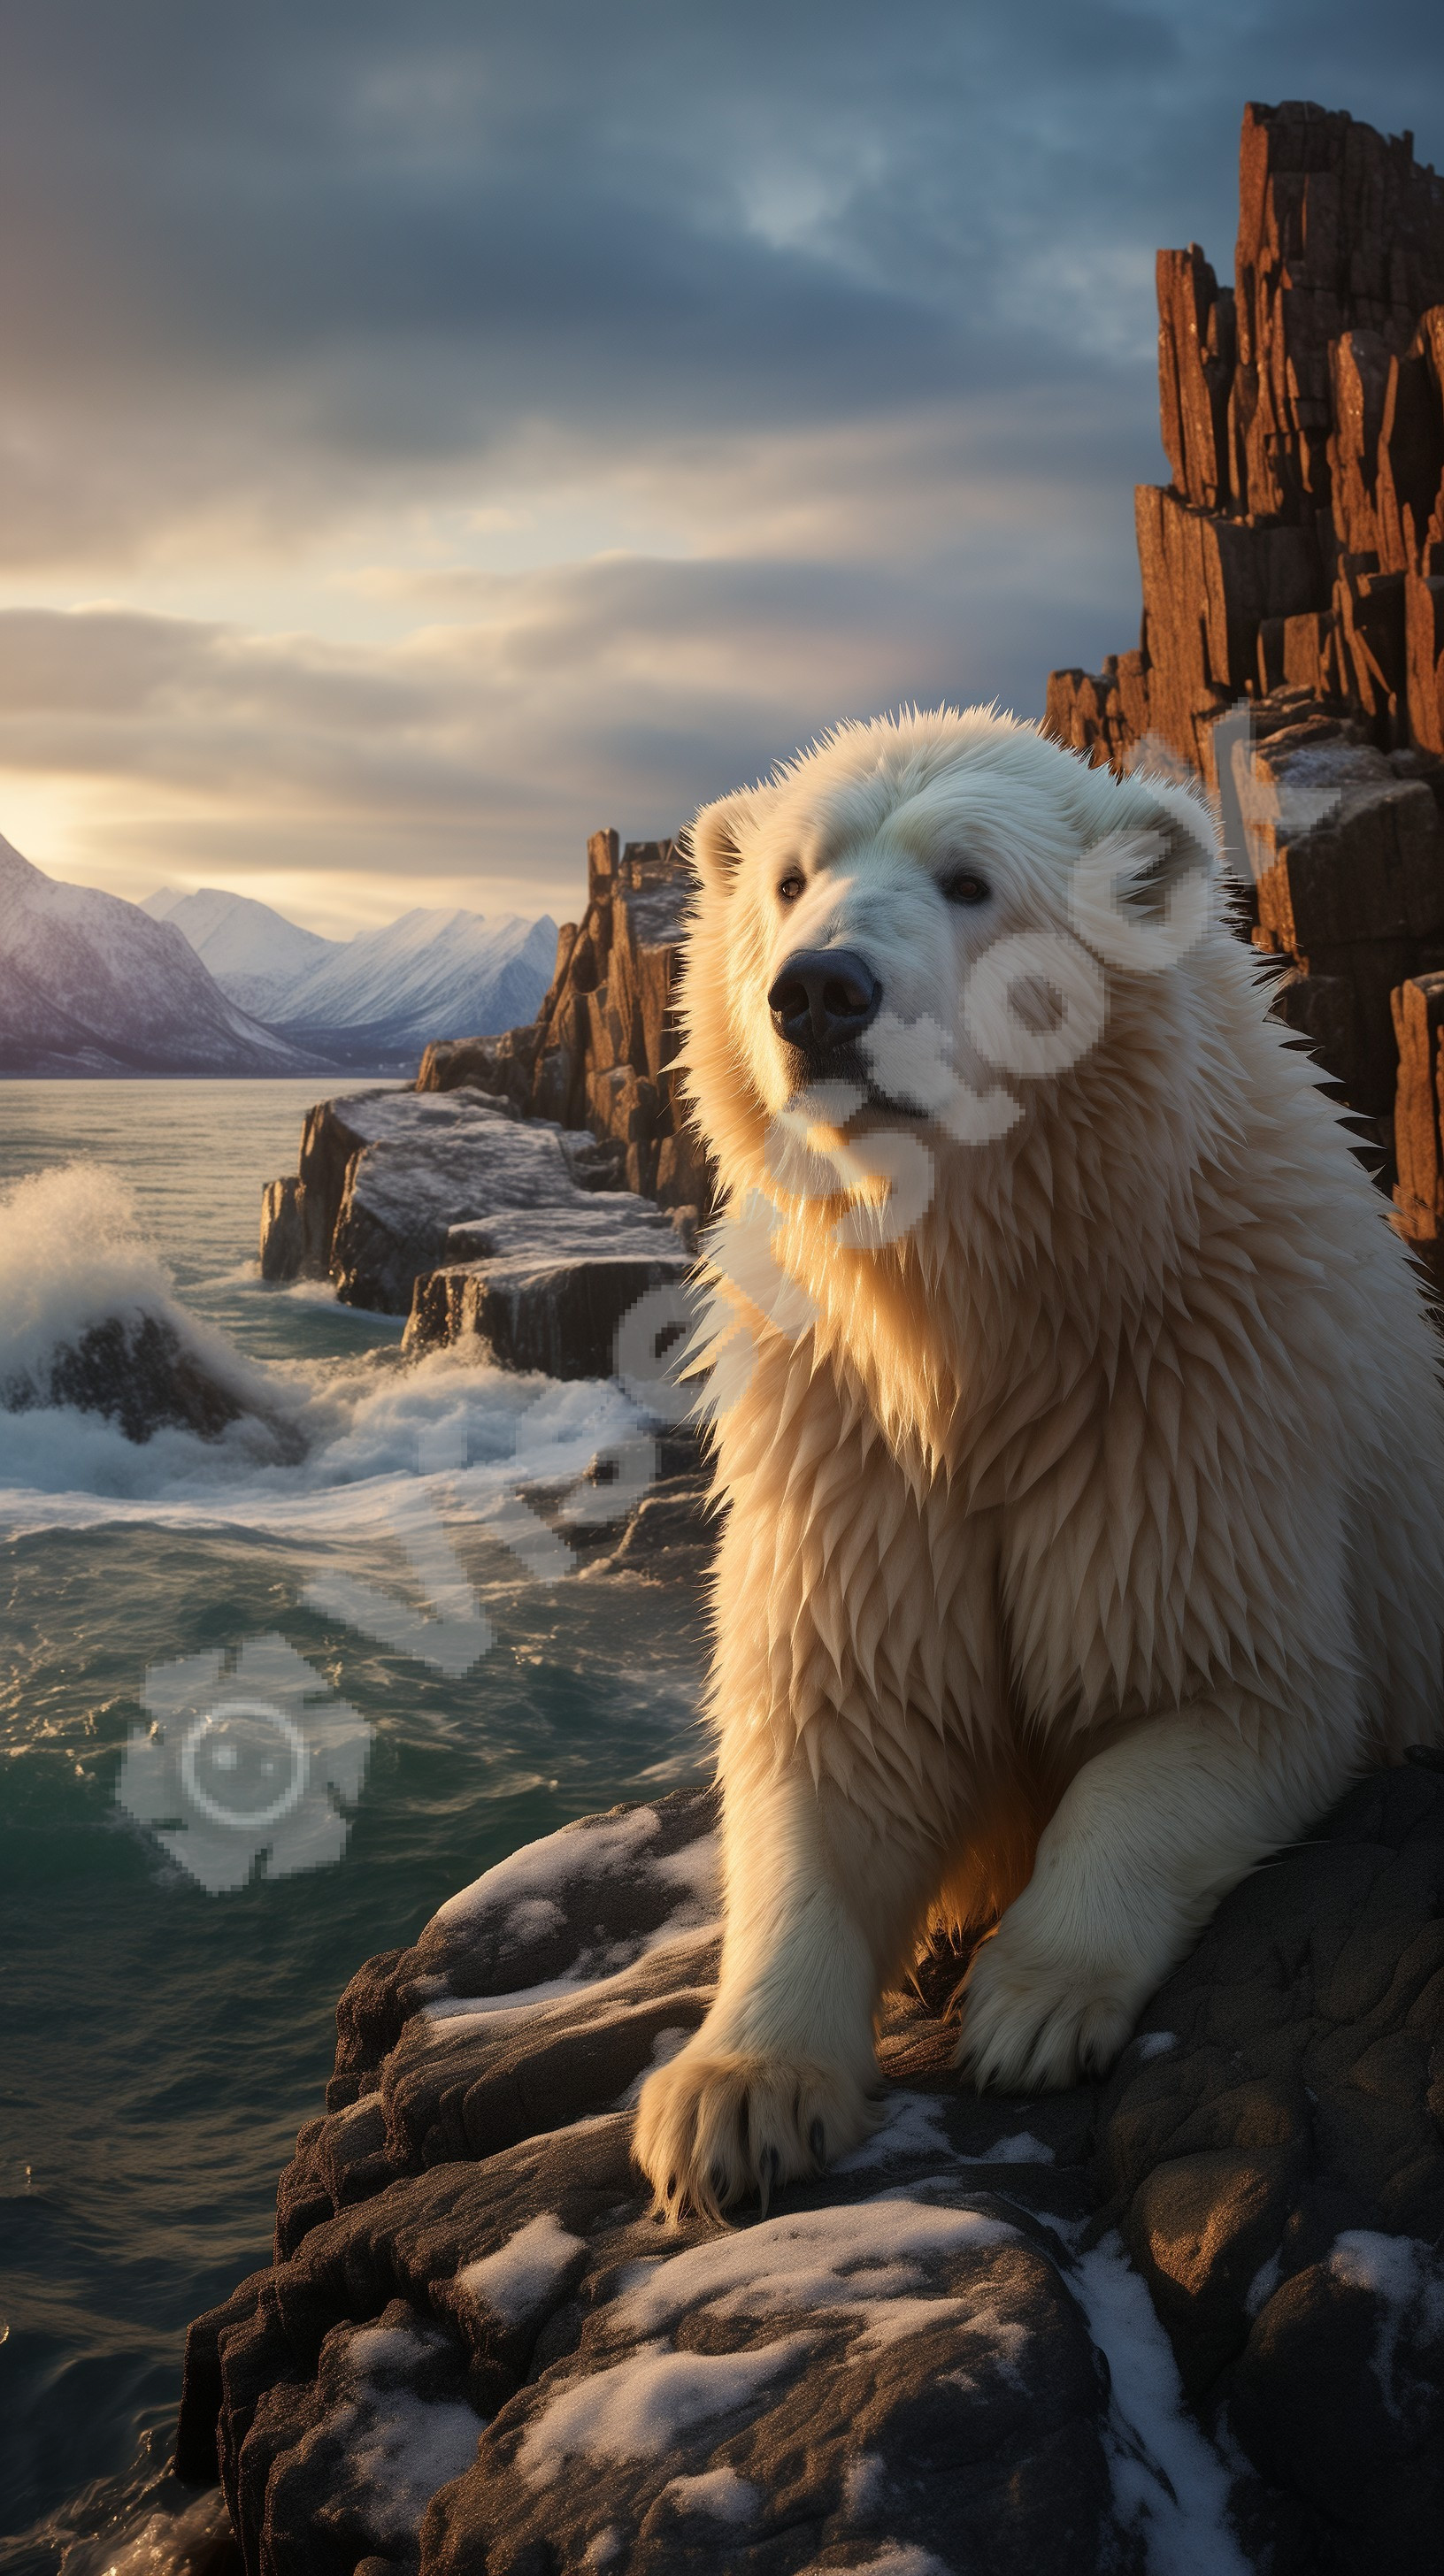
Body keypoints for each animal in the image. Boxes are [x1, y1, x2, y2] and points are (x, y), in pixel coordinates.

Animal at [633, 704, 1444, 2223]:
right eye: (788, 878)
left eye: (970, 880)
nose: (817, 992)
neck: (999, 1334)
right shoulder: (851, 1450)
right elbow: (837, 1730)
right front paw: (731, 2100)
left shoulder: (1200, 1417)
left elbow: (1216, 1701)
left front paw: (1032, 2002)